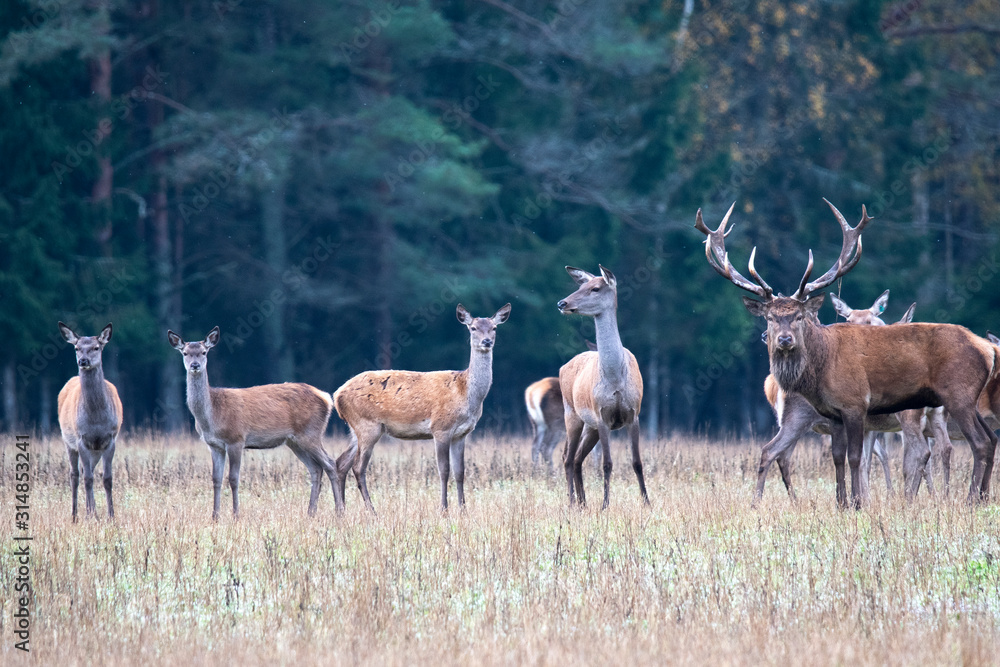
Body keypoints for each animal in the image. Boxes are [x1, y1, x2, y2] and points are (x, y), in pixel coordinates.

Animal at [57, 322, 123, 521]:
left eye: (96, 347)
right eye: (77, 348)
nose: (83, 361)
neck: (96, 419)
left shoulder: (110, 438)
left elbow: (107, 478)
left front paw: (110, 516)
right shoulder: (81, 438)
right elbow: (87, 479)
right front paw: (91, 515)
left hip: (95, 449)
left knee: (89, 471)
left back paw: (91, 511)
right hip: (68, 441)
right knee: (75, 475)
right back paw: (76, 515)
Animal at [167, 327, 342, 519]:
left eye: (204, 352)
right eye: (185, 353)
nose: (195, 365)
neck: (212, 416)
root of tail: (327, 398)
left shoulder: (236, 439)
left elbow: (233, 478)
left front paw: (236, 515)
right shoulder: (214, 445)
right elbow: (216, 479)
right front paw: (215, 516)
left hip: (311, 433)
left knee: (331, 464)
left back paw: (339, 511)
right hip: (294, 441)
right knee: (316, 468)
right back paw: (311, 512)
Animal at [333, 303, 512, 512]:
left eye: (494, 328)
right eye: (473, 328)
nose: (487, 341)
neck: (466, 393)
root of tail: (337, 395)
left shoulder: (462, 433)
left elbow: (460, 472)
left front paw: (463, 509)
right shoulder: (441, 428)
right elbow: (444, 470)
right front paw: (443, 509)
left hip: (355, 429)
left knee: (341, 463)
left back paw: (341, 510)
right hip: (367, 425)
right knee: (358, 466)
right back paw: (372, 510)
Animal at [557, 265, 649, 509]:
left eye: (595, 288)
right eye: (581, 286)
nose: (562, 303)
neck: (615, 378)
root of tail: (562, 367)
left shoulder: (634, 413)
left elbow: (637, 462)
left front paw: (647, 502)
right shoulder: (602, 415)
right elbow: (607, 463)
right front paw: (605, 504)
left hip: (590, 427)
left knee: (577, 458)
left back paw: (583, 503)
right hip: (572, 414)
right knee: (567, 457)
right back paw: (572, 502)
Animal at [695, 199, 998, 507]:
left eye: (799, 316)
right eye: (769, 317)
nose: (783, 339)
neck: (822, 367)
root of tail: (987, 348)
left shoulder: (854, 404)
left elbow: (855, 458)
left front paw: (857, 503)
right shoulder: (833, 413)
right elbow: (838, 458)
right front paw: (841, 503)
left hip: (956, 394)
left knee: (978, 443)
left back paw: (971, 499)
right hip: (965, 402)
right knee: (989, 439)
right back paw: (983, 497)